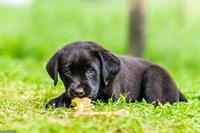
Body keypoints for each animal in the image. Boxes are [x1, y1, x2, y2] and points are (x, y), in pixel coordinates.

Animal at [45, 41, 186, 107]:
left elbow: (95, 99)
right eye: (67, 72)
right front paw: (56, 101)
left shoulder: (111, 98)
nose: (78, 92)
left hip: (154, 76)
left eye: (90, 71)